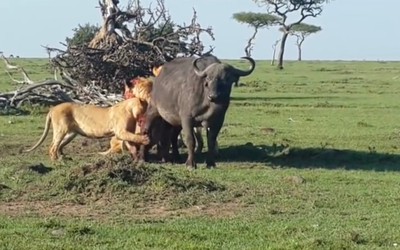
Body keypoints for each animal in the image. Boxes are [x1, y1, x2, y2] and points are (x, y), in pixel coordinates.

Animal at [23, 78, 152, 160]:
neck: (130, 108)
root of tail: (53, 108)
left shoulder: (126, 132)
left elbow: (131, 140)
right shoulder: (120, 131)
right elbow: (132, 137)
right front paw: (145, 139)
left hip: (71, 133)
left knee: (60, 145)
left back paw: (64, 157)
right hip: (61, 129)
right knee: (53, 146)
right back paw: (57, 161)